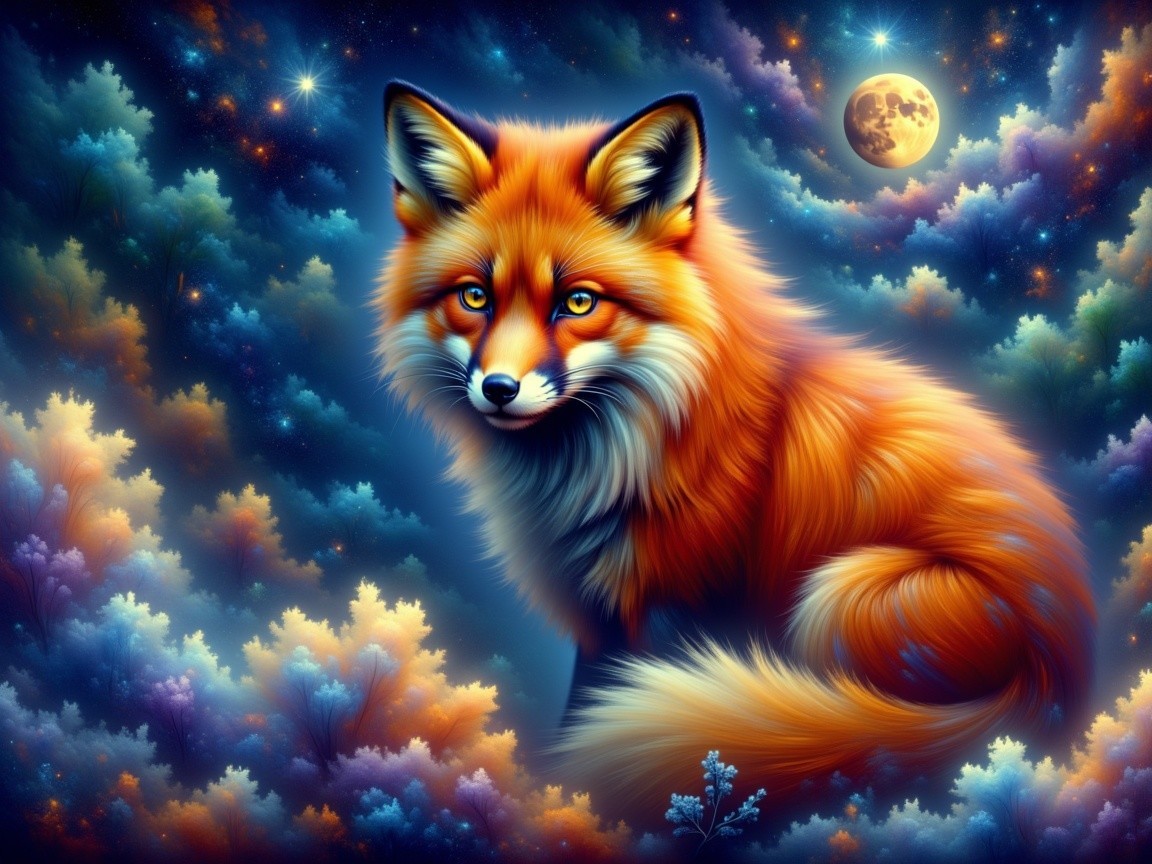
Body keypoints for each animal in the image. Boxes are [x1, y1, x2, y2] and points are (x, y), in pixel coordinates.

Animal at [373, 81, 1096, 814]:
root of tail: (1055, 693)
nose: (498, 389)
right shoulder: (602, 622)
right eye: (475, 296)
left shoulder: (673, 610)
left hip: (838, 594)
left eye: (577, 303)